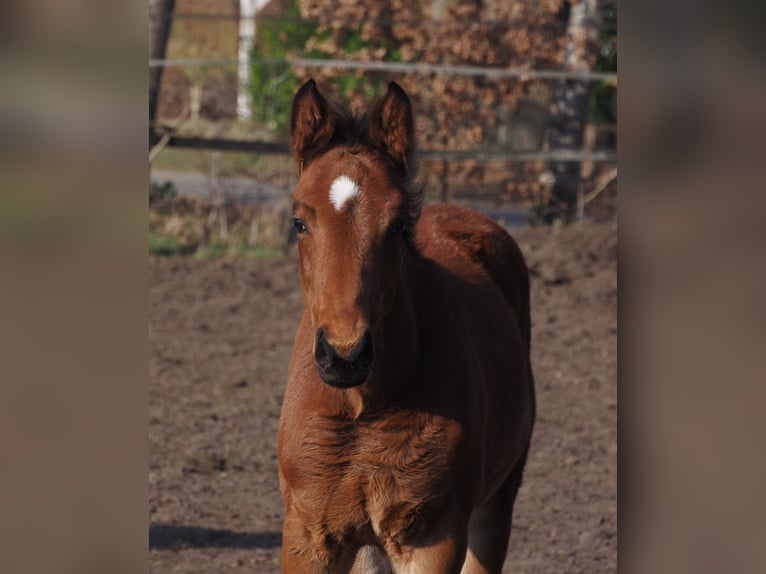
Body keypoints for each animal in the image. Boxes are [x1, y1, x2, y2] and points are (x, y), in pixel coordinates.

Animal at [277, 79, 535, 574]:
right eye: (299, 221)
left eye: (397, 225)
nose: (344, 355)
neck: (362, 410)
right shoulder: (308, 534)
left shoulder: (433, 538)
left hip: (498, 503)